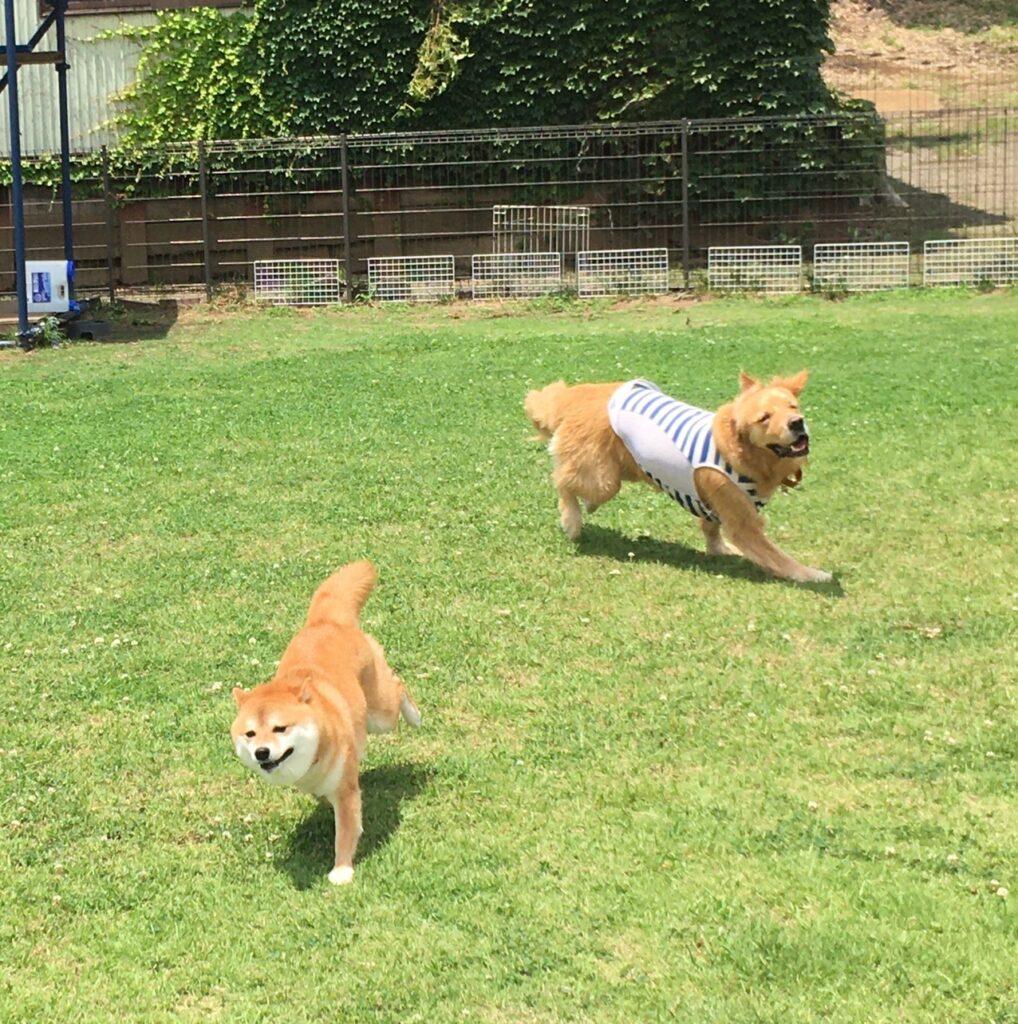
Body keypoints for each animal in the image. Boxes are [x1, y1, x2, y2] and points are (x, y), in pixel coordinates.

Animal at [230, 561, 421, 885]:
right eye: (250, 734)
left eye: (280, 728)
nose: (262, 753)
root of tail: (326, 620)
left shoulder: (345, 793)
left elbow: (344, 833)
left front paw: (341, 870)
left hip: (380, 713)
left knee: (398, 686)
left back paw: (415, 715)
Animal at [524, 371, 832, 584]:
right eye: (764, 418)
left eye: (793, 407)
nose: (797, 423)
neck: (742, 453)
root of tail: (577, 396)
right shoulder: (743, 522)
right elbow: (777, 556)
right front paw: (812, 574)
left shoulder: (712, 506)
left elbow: (711, 530)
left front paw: (721, 550)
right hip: (603, 481)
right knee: (563, 483)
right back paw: (572, 521)